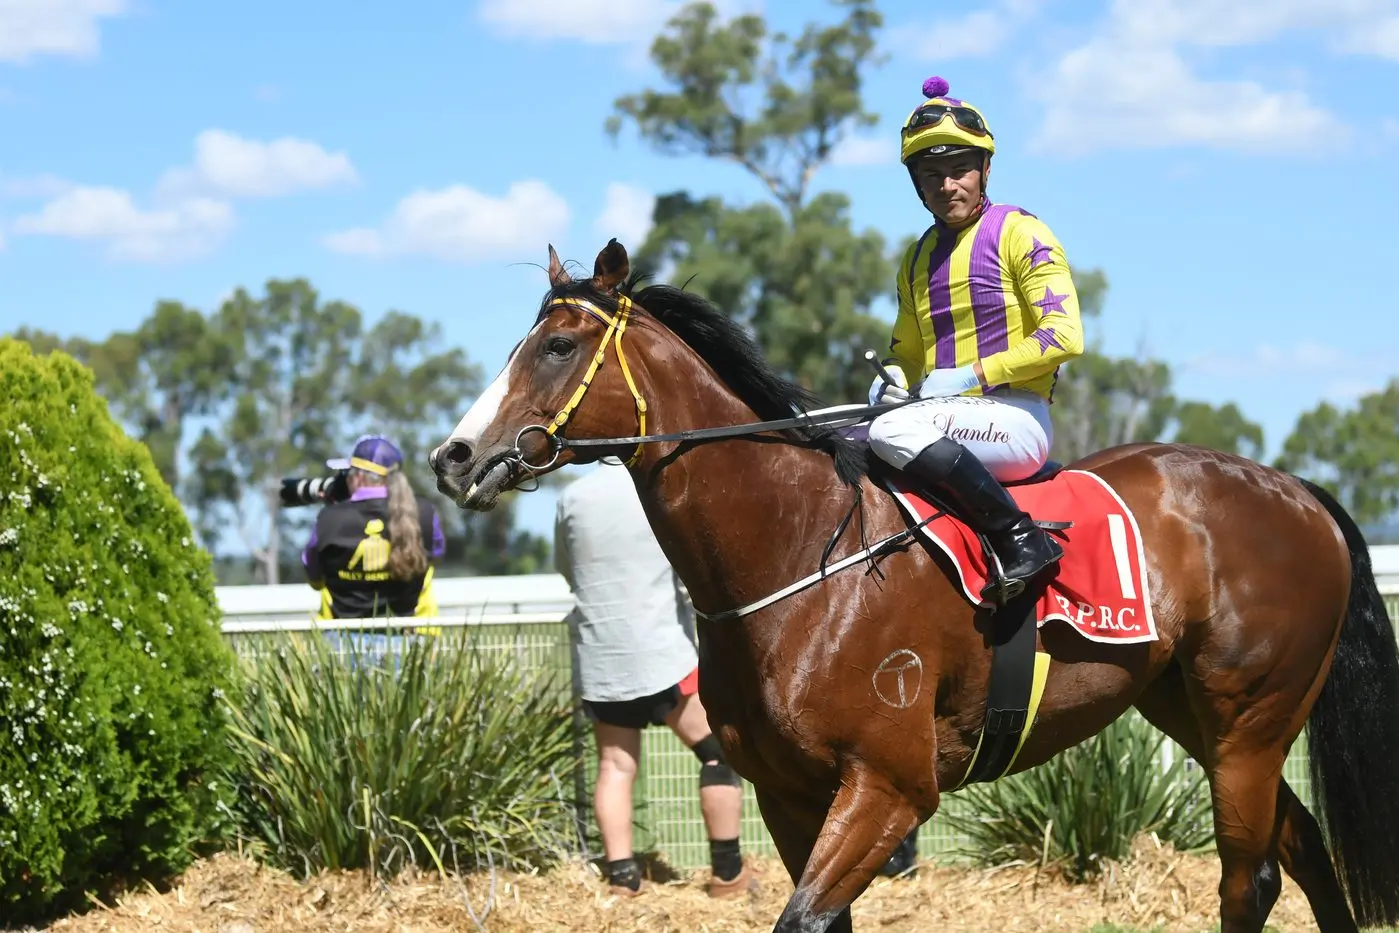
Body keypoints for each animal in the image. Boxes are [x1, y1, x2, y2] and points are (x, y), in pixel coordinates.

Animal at [429, 239, 1399, 933]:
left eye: (557, 345)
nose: (454, 456)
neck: (797, 555)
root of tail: (1295, 490)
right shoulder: (788, 793)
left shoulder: (889, 787)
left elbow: (803, 920)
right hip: (1191, 709)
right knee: (1301, 850)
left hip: (1249, 720)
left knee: (1250, 876)